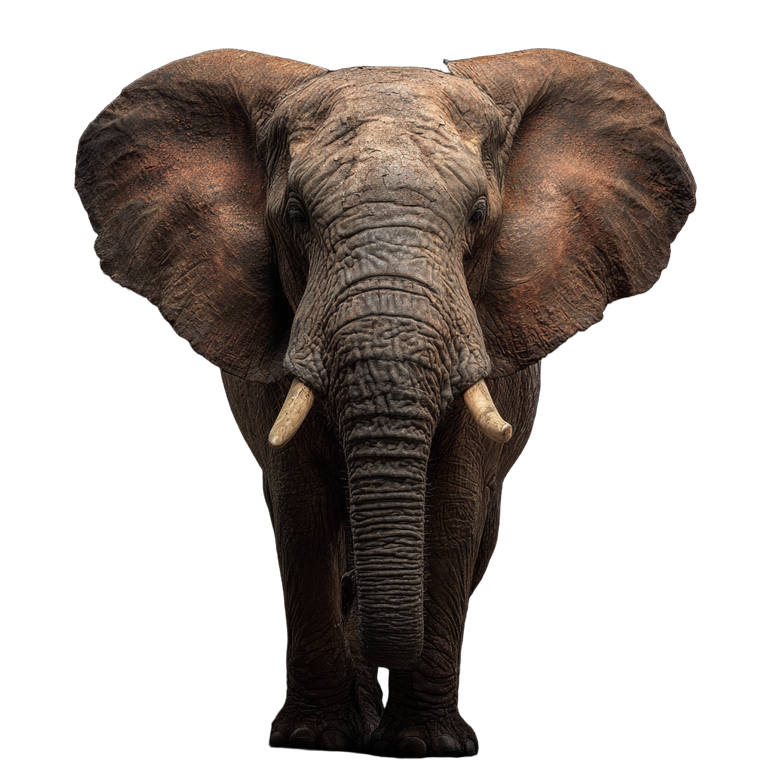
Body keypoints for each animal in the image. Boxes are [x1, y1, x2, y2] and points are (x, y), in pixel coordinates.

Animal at [75, 46, 696, 758]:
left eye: (478, 215)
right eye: (295, 215)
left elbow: (453, 508)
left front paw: (427, 743)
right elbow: (302, 511)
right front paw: (315, 737)